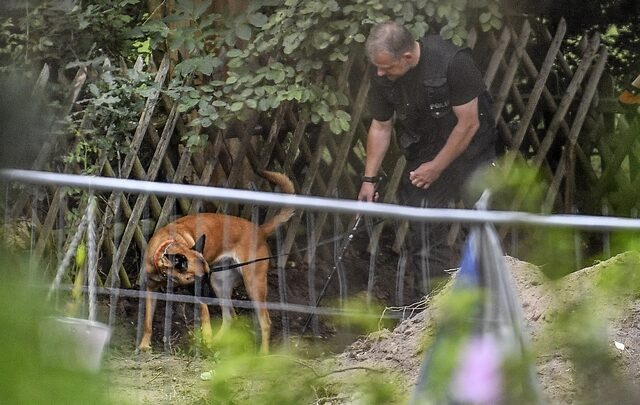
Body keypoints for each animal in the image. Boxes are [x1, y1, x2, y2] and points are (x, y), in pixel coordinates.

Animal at [139, 170, 294, 354]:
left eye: (204, 276)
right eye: (197, 279)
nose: (207, 296)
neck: (167, 247)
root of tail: (260, 231)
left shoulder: (200, 296)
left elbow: (205, 315)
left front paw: (206, 337)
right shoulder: (151, 289)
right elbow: (147, 322)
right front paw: (144, 345)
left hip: (252, 286)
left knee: (265, 322)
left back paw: (262, 353)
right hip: (219, 283)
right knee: (229, 317)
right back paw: (219, 342)